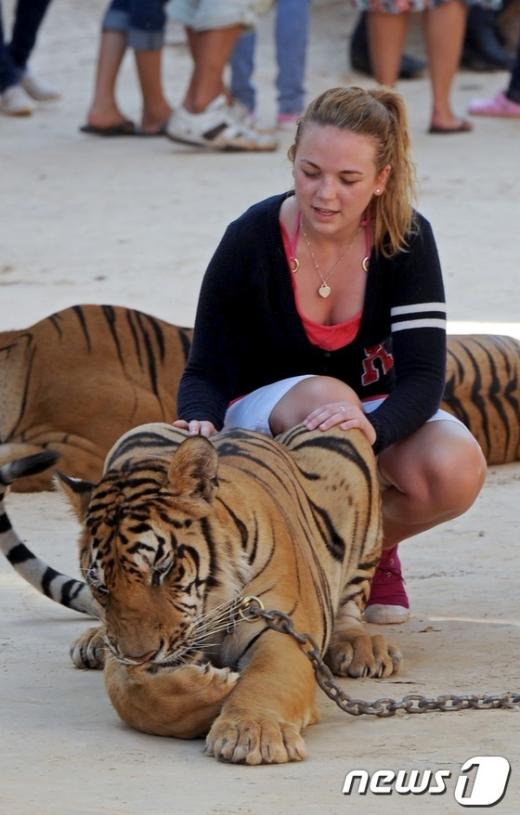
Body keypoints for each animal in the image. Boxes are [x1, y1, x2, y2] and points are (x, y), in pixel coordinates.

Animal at [0, 420, 402, 764]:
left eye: (161, 569)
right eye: (100, 586)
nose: (140, 656)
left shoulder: (282, 631)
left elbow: (268, 679)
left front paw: (251, 733)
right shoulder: (126, 651)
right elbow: (129, 693)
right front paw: (216, 690)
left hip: (343, 441)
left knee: (351, 602)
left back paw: (360, 647)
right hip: (135, 433)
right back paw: (93, 640)